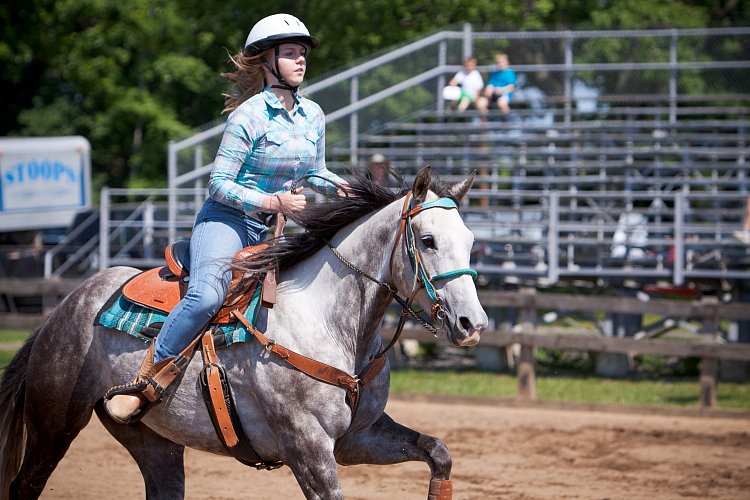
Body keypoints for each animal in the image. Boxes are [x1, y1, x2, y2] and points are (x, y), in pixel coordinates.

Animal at [0, 166, 488, 498]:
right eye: (427, 240)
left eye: (469, 240)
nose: (473, 324)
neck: (330, 325)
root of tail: (69, 304)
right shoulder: (308, 448)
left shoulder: (357, 438)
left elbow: (438, 452)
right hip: (53, 425)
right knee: (26, 483)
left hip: (152, 440)